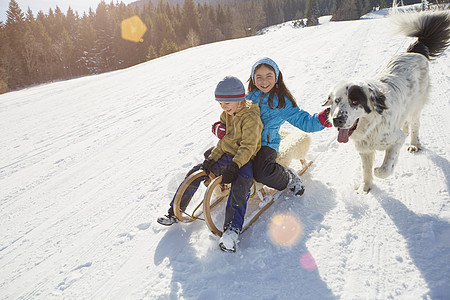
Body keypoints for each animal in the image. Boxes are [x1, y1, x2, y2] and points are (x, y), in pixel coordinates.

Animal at [322, 11, 450, 192]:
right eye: (336, 101)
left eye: (355, 101)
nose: (337, 120)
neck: (370, 127)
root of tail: (414, 51)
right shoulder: (365, 149)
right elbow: (366, 170)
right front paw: (365, 188)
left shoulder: (396, 139)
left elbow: (384, 169)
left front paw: (378, 170)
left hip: (416, 106)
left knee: (414, 126)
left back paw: (414, 144)